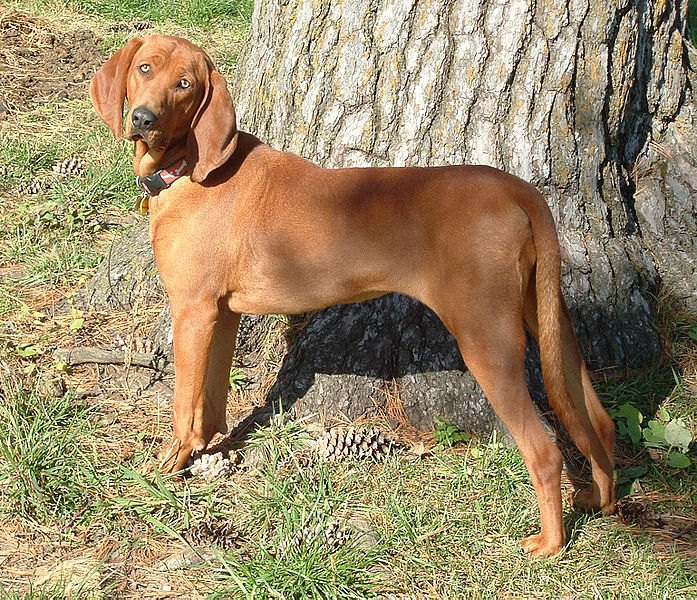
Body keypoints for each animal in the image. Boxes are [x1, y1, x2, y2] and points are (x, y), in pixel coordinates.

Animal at [88, 35, 616, 556]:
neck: (187, 169)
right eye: (145, 67)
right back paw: (599, 498)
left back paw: (550, 542)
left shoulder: (193, 310)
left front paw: (169, 463)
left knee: (545, 451)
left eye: (185, 84)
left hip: (488, 339)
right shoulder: (222, 313)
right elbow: (212, 396)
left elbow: (184, 402)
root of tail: (516, 188)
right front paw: (209, 448)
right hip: (548, 321)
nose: (143, 119)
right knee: (598, 420)